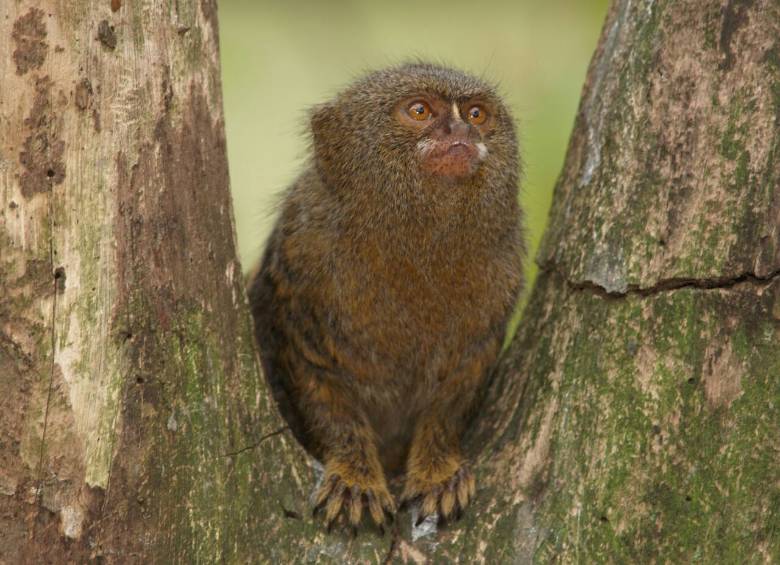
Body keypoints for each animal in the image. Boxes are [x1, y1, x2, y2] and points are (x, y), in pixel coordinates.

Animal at [248, 62, 524, 532]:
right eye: (419, 110)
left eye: (475, 114)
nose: (462, 131)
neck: (419, 242)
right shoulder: (304, 261)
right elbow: (323, 392)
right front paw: (354, 477)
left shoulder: (500, 280)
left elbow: (453, 397)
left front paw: (438, 472)